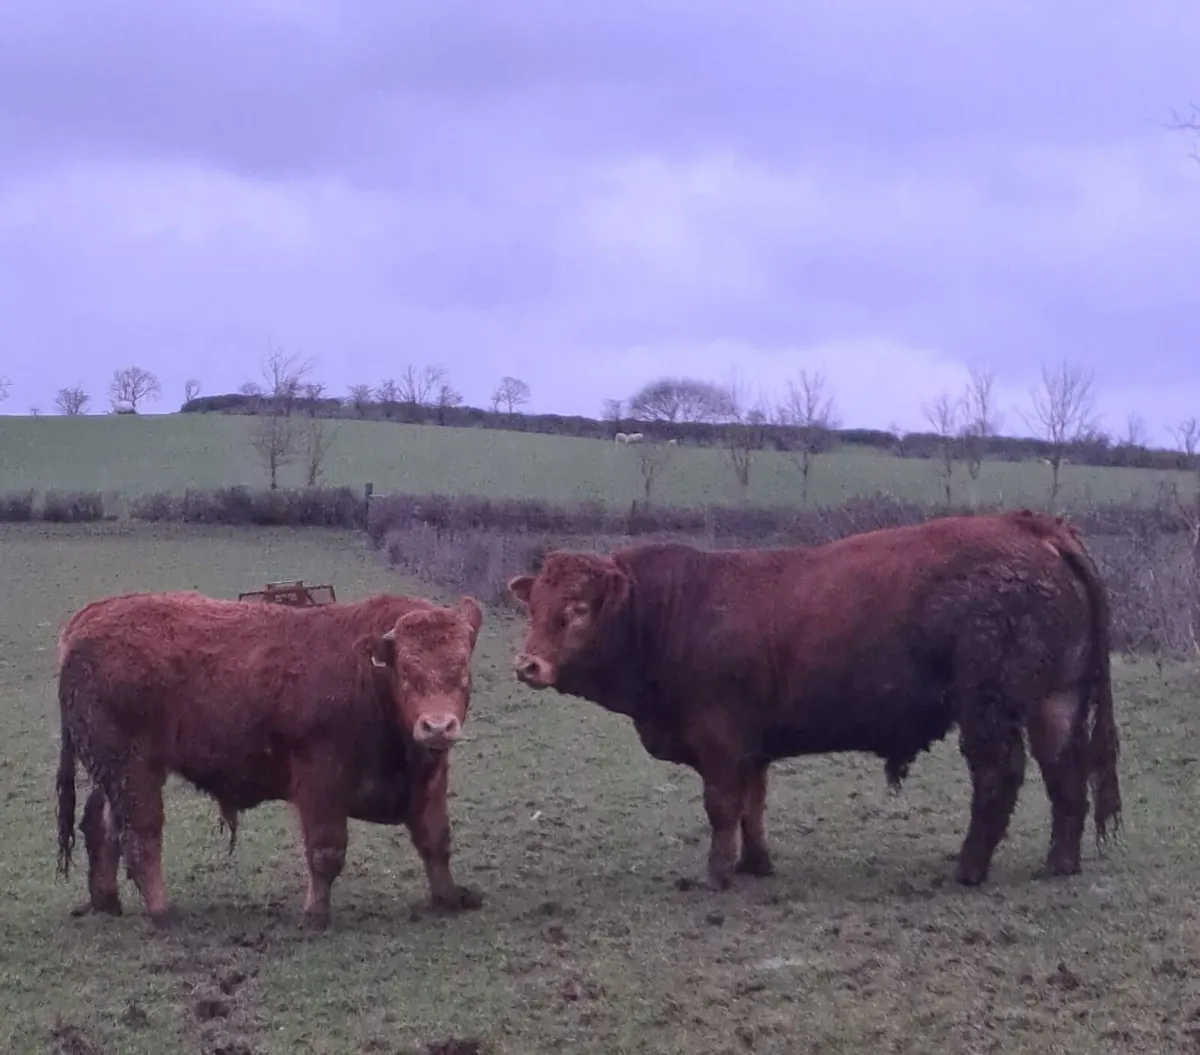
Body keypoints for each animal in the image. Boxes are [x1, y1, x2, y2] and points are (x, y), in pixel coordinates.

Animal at [55, 589, 485, 930]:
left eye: (463, 670)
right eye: (408, 672)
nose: (437, 726)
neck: (368, 675)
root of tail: (87, 621)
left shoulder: (430, 781)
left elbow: (435, 840)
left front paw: (449, 899)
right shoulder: (320, 782)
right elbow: (326, 851)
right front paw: (315, 916)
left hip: (115, 774)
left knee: (101, 826)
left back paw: (106, 900)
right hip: (132, 771)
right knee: (141, 836)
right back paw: (161, 912)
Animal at [506, 510, 1122, 892]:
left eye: (577, 608)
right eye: (533, 606)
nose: (527, 664)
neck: (669, 610)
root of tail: (1032, 524)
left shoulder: (720, 740)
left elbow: (722, 806)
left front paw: (717, 874)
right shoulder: (751, 747)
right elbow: (752, 805)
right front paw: (755, 864)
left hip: (988, 709)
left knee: (999, 776)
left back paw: (968, 868)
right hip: (1056, 702)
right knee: (1065, 775)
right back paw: (1060, 863)